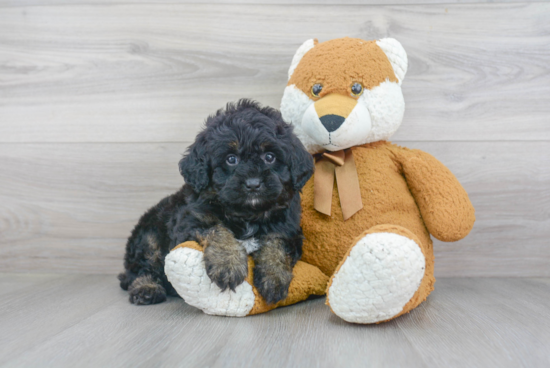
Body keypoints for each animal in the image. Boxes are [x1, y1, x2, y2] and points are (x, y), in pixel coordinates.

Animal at [117, 100, 314, 304]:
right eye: (231, 159)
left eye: (269, 157)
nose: (253, 184)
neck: (248, 215)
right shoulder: (191, 221)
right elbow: (218, 230)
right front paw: (228, 264)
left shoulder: (288, 228)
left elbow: (277, 243)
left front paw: (274, 277)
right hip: (149, 235)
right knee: (140, 267)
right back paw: (146, 288)